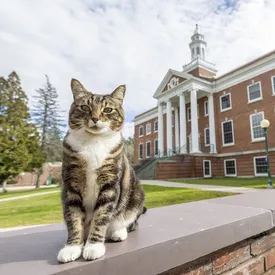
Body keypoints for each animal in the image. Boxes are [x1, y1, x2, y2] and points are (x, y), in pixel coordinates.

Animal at [56, 79, 146, 264]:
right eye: (85, 107)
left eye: (108, 109)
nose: (95, 118)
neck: (93, 142)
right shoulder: (71, 184)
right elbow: (73, 218)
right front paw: (72, 247)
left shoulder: (110, 183)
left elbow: (101, 216)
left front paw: (93, 246)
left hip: (136, 196)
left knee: (130, 222)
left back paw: (118, 232)